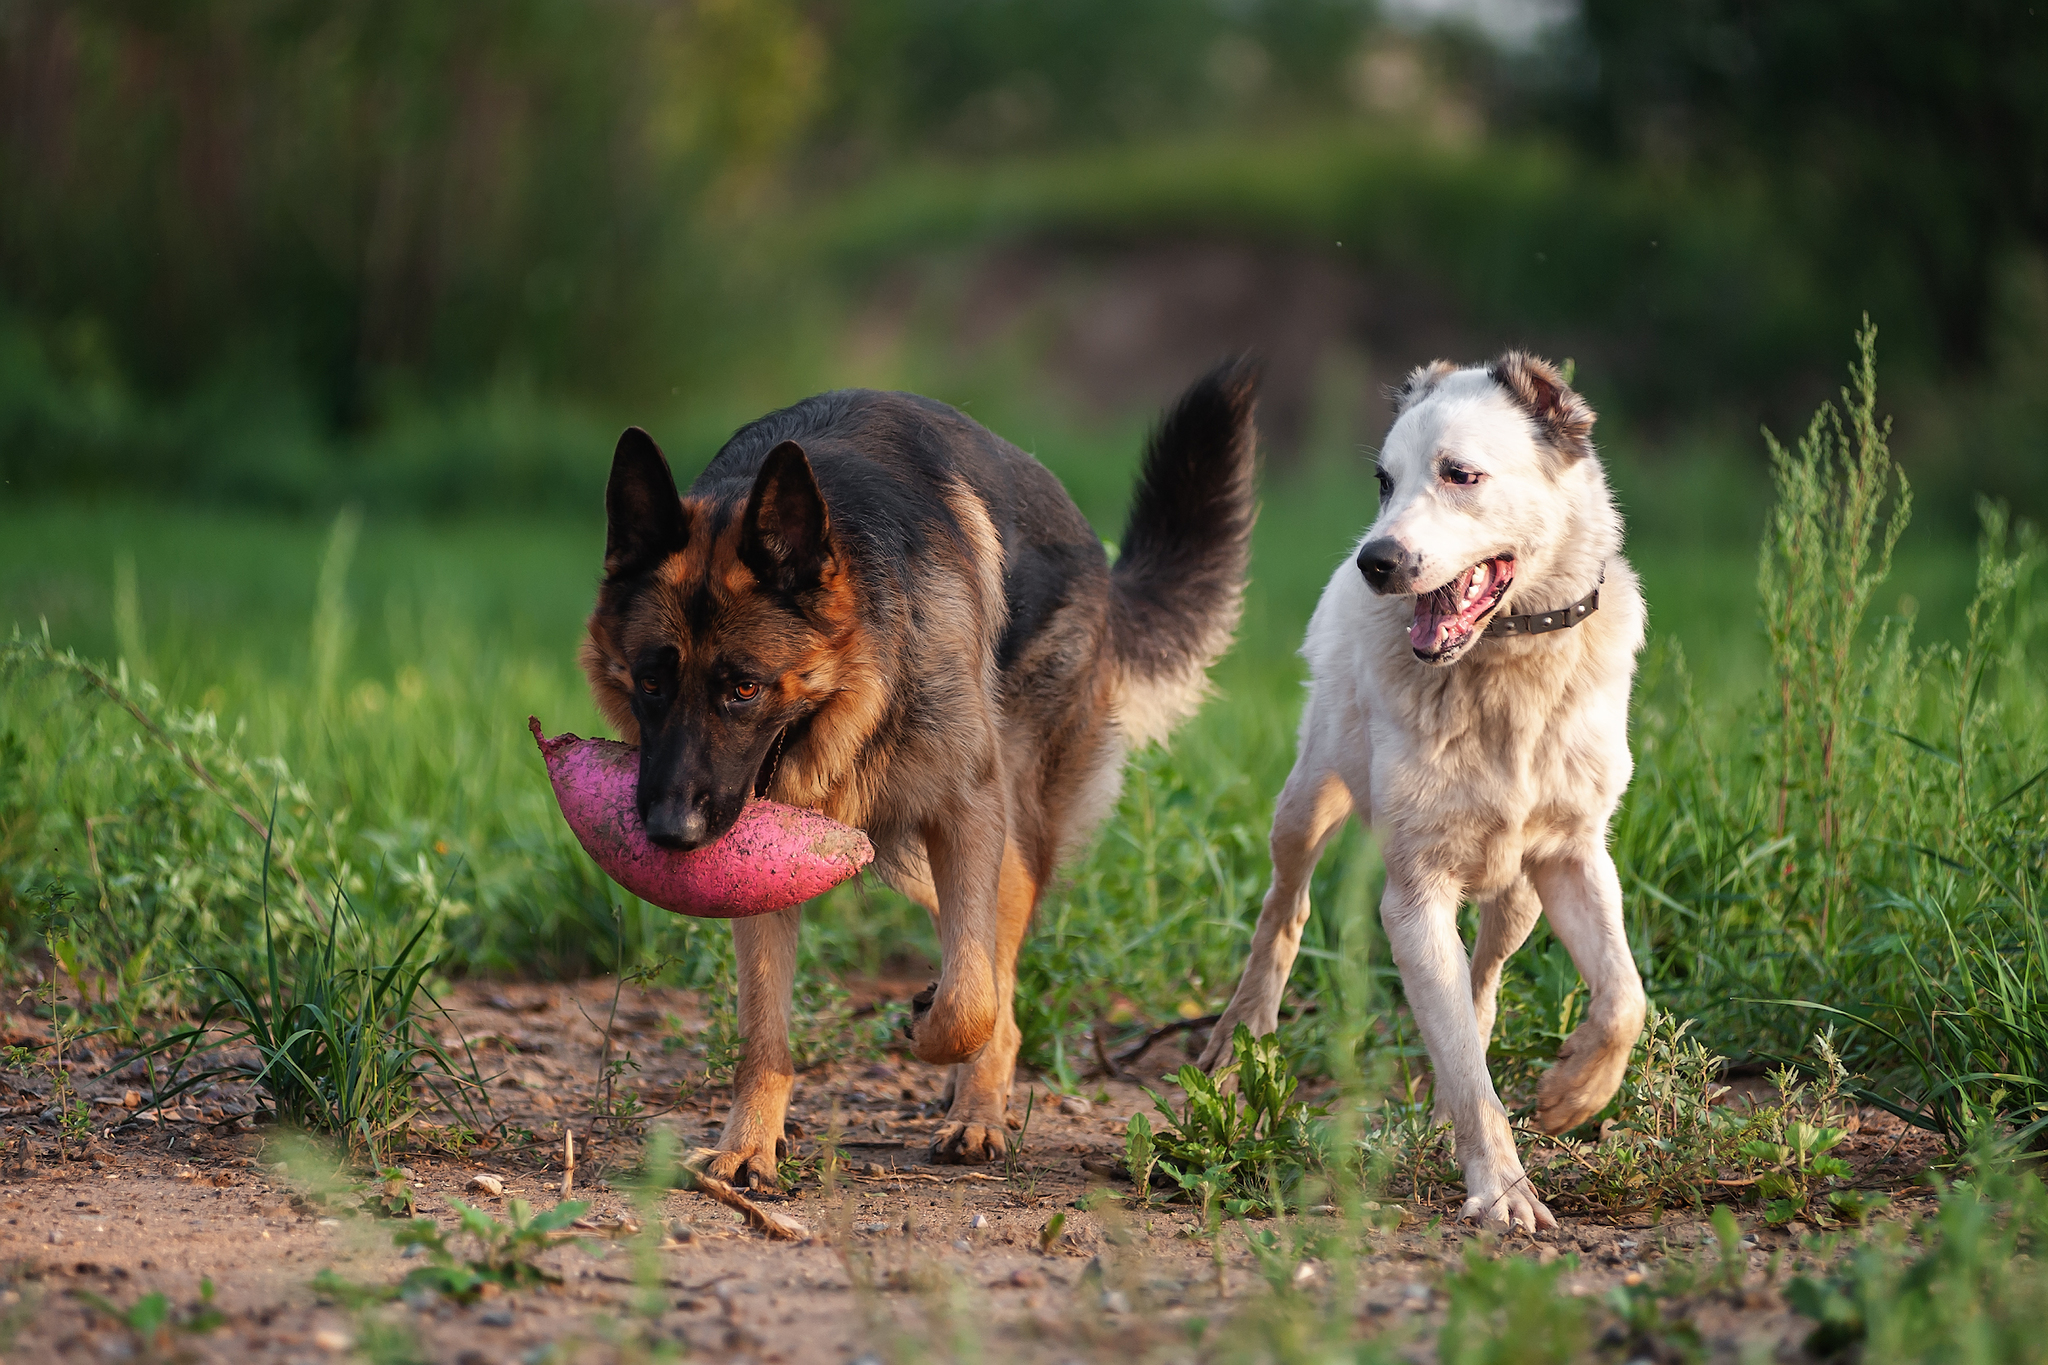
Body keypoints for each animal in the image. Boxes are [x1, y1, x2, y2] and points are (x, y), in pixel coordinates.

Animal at [585, 366, 1253, 1186]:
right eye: (652, 682)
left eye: (743, 688)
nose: (671, 832)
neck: (861, 686)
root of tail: (1093, 549)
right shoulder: (766, 864)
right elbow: (764, 1032)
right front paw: (749, 1142)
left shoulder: (968, 815)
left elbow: (971, 1001)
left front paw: (935, 1031)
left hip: (1010, 839)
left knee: (997, 983)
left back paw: (977, 1111)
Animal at [1196, 351, 1646, 1227]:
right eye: (1383, 479)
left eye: (1459, 474)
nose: (1375, 562)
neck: (1505, 668)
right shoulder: (1412, 893)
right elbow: (1471, 1070)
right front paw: (1503, 1191)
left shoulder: (1576, 856)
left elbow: (1622, 995)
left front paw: (1574, 1091)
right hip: (1305, 802)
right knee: (1283, 910)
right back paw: (1242, 1040)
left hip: (1521, 893)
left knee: (1486, 978)